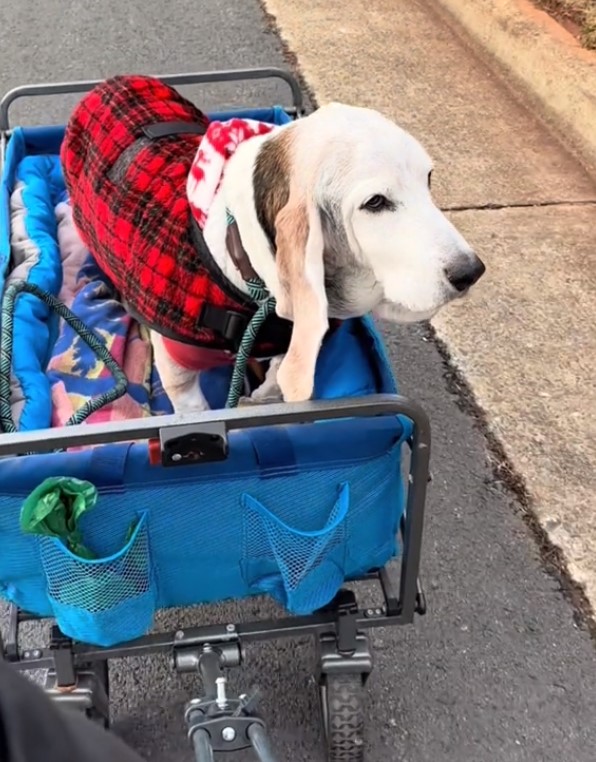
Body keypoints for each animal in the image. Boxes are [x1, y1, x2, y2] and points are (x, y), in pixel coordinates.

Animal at [61, 74, 484, 412]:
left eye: (428, 180)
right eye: (375, 203)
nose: (472, 271)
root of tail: (109, 83)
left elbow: (275, 379)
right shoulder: (178, 370)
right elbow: (196, 410)